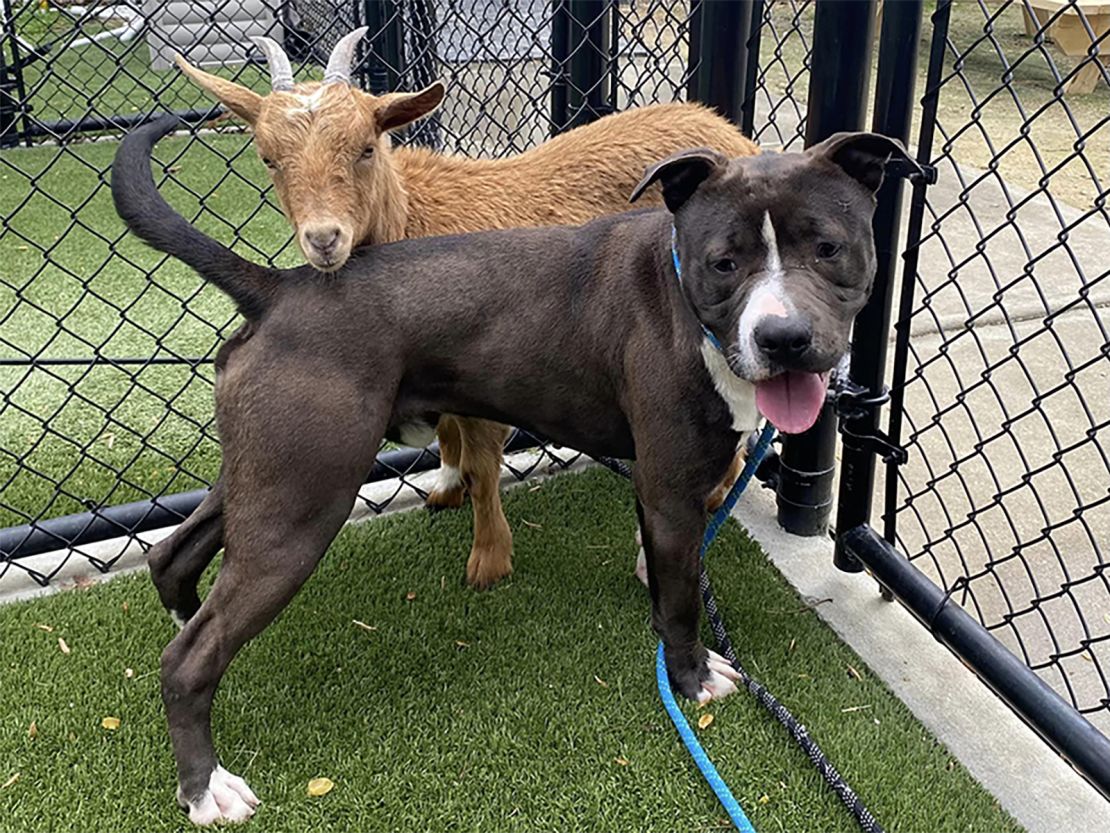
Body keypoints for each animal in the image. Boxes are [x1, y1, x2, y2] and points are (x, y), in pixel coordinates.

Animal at [112, 114, 914, 826]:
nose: (785, 338)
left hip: (267, 477)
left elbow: (665, 576)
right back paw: (205, 789)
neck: (683, 294)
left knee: (173, 554)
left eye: (829, 248)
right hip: (301, 505)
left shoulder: (662, 488)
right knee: (188, 658)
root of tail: (281, 288)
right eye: (725, 261)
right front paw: (689, 678)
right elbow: (685, 600)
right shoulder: (673, 486)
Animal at [156, 30, 759, 608]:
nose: (325, 239)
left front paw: (488, 561)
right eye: (267, 158)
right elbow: (447, 438)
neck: (414, 217)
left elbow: (483, 465)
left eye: (366, 147)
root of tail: (733, 134)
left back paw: (702, 506)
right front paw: (445, 490)